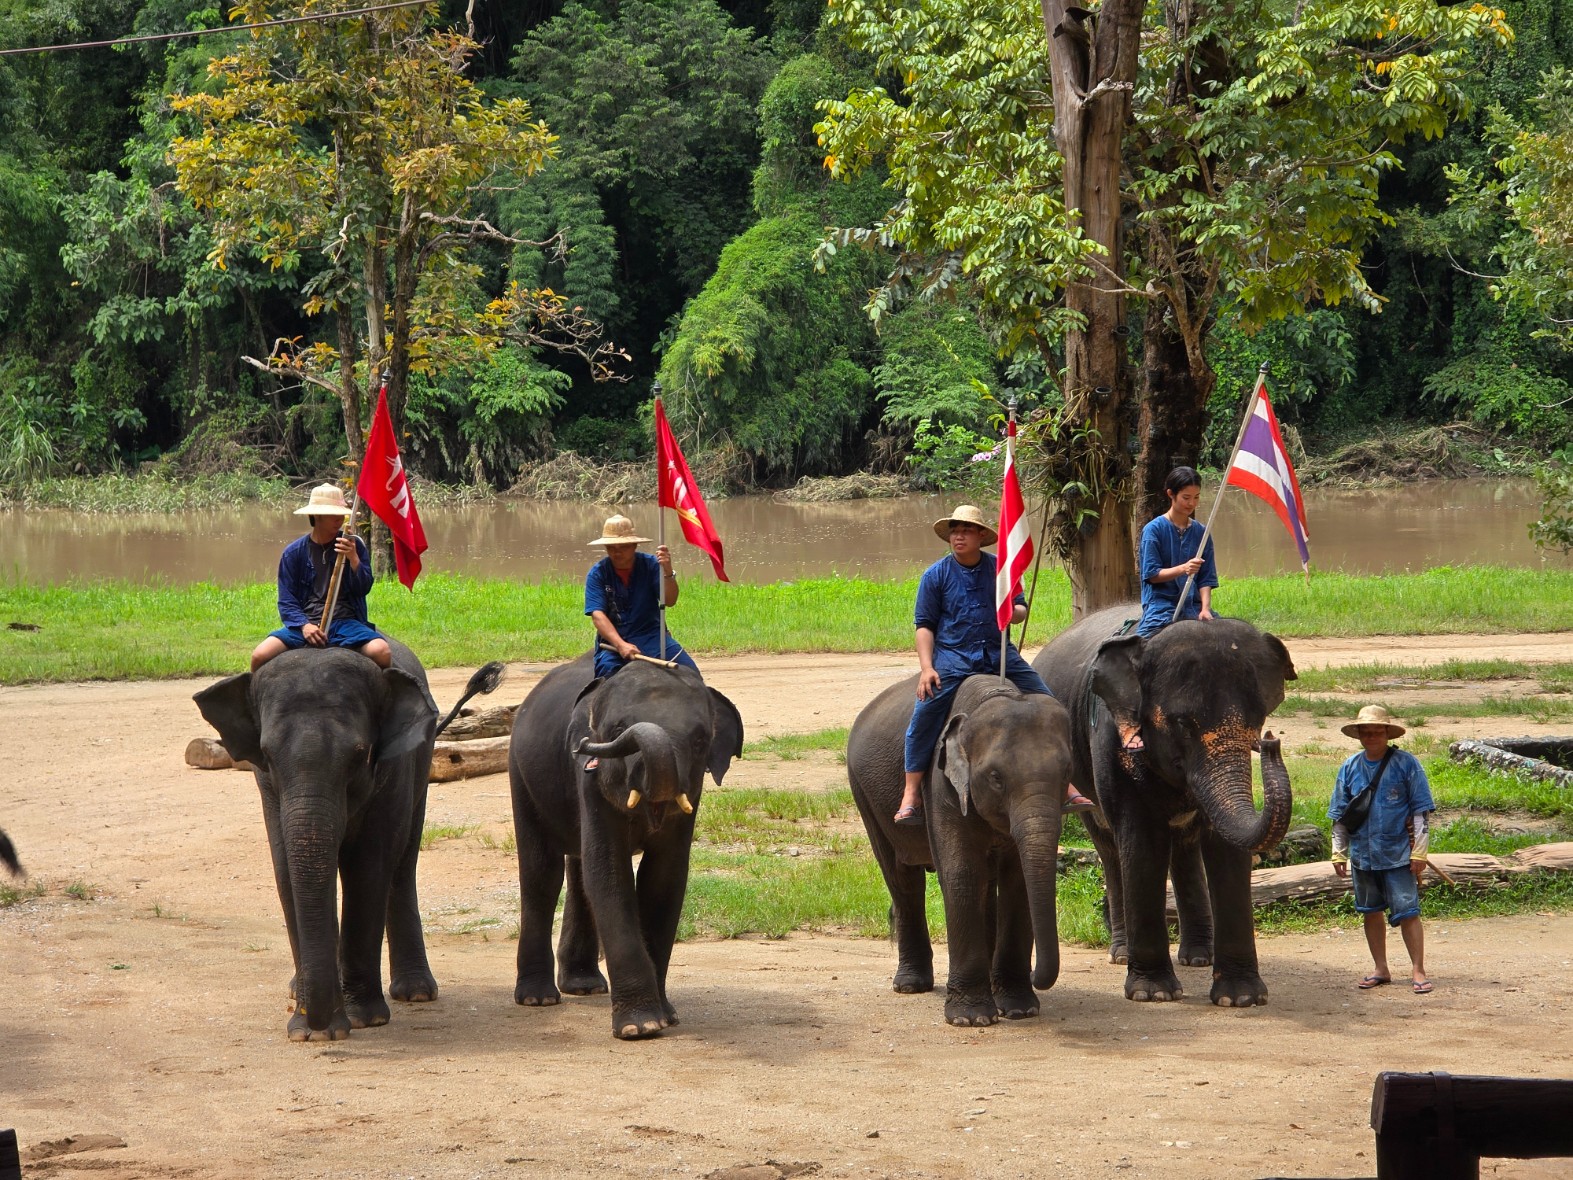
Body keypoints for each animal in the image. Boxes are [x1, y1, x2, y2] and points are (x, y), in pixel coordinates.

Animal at [195, 643, 501, 1041]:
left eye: (359, 754)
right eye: (269, 756)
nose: (315, 1025)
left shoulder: (393, 771)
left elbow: (368, 868)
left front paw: (361, 1020)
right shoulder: (268, 789)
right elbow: (286, 870)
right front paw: (310, 1032)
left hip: (421, 766)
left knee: (403, 865)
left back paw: (416, 992)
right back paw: (297, 989)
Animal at [509, 653, 743, 1039]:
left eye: (699, 741)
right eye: (618, 732)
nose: (586, 747)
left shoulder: (691, 795)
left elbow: (663, 879)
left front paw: (667, 1017)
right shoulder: (587, 778)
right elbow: (608, 873)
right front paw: (641, 1027)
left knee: (577, 869)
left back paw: (584, 986)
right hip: (521, 773)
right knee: (542, 873)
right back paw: (537, 999)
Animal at [846, 674, 1074, 1027]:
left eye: (1067, 773)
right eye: (995, 778)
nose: (1037, 975)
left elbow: (1017, 880)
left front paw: (1019, 1010)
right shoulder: (941, 783)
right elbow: (962, 873)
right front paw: (971, 1018)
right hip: (865, 795)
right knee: (903, 880)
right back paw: (911, 985)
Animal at [1032, 607, 1296, 1007]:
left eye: (1257, 720)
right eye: (1183, 724)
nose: (1270, 742)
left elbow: (1227, 847)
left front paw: (1241, 998)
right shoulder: (1113, 741)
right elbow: (1142, 843)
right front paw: (1152, 993)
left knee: (1184, 846)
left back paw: (1199, 957)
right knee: (1110, 848)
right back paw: (1121, 953)